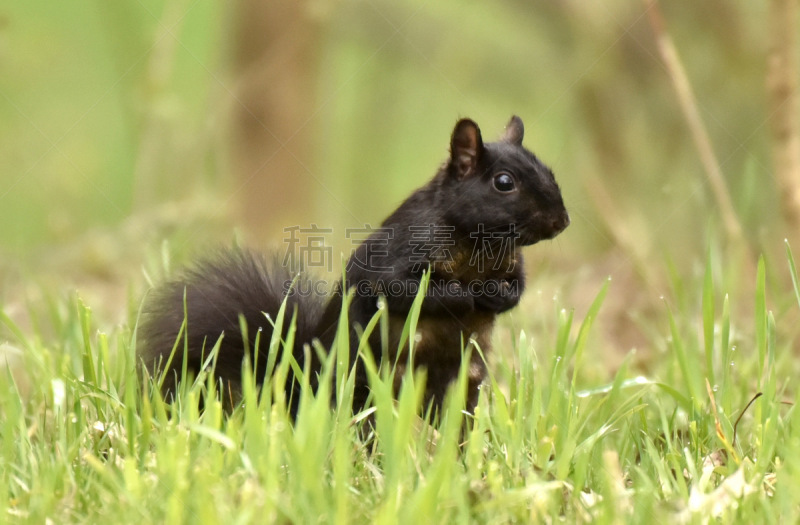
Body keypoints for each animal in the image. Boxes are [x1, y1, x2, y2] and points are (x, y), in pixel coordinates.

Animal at [142, 115, 568, 418]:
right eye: (503, 182)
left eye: (549, 171)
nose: (561, 221)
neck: (480, 243)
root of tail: (302, 389)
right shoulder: (399, 255)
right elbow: (404, 290)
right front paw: (465, 297)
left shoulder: (511, 263)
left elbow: (517, 287)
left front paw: (498, 296)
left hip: (464, 384)